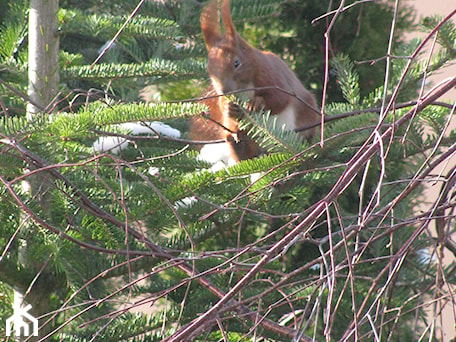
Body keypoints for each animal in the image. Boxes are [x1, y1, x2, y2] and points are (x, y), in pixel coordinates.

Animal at [191, 0, 318, 162]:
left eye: (236, 63)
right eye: (209, 69)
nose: (225, 90)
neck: (244, 86)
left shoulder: (272, 76)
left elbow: (280, 99)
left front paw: (257, 103)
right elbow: (223, 105)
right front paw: (228, 108)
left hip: (307, 116)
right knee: (245, 153)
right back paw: (237, 144)